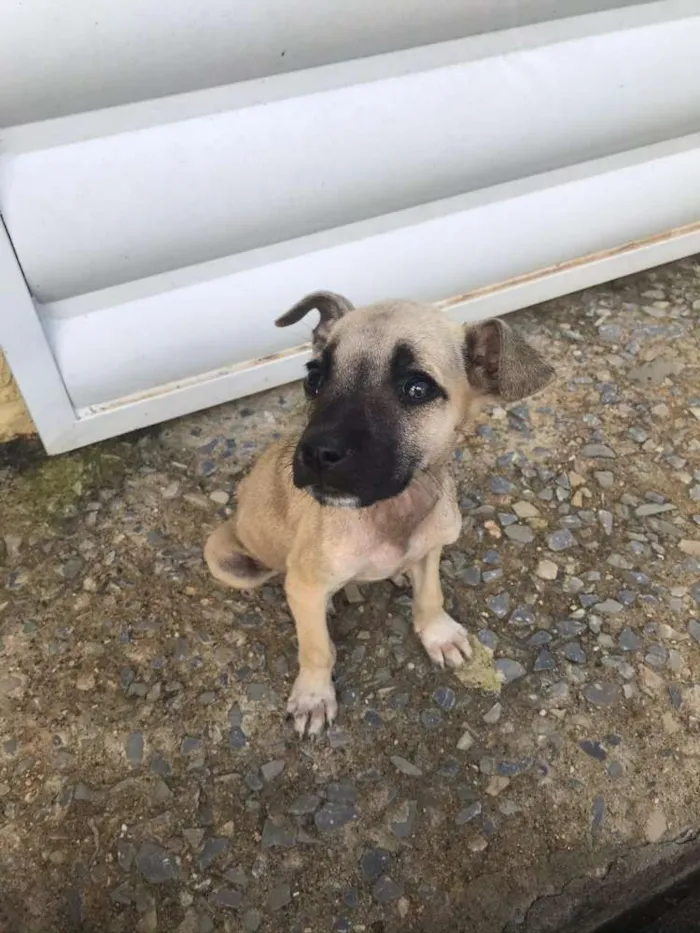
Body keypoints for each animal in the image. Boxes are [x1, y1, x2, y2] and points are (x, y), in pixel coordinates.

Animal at [202, 292, 552, 736]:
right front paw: (314, 695)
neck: (390, 510)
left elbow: (430, 595)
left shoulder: (432, 548)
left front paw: (437, 633)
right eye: (314, 376)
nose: (317, 453)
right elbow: (315, 648)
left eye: (417, 388)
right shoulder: (306, 584)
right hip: (231, 559)